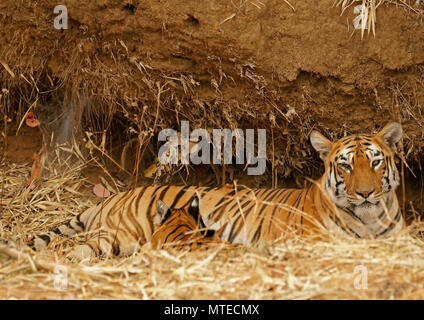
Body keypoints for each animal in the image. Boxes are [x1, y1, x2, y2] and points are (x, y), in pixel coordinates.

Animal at [30, 121, 404, 258]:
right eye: (345, 166)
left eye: (375, 163)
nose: (366, 194)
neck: (371, 218)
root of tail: (119, 194)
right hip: (117, 236)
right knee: (74, 249)